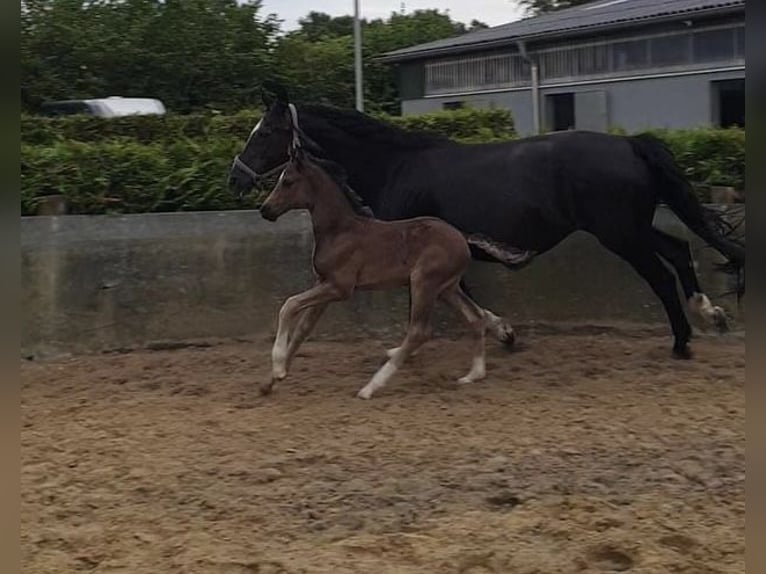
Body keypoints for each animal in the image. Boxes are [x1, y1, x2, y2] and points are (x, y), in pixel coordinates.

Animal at [231, 86, 748, 360]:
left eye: (268, 131)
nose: (235, 176)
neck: (395, 165)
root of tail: (630, 144)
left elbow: (454, 297)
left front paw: (500, 332)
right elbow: (461, 294)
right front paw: (503, 332)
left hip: (620, 232)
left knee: (660, 273)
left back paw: (682, 341)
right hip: (633, 227)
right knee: (679, 250)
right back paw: (709, 315)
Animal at [258, 148, 486, 400]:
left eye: (287, 181)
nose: (265, 210)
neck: (339, 231)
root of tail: (463, 238)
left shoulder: (340, 287)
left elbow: (289, 305)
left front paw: (278, 367)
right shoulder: (323, 283)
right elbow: (303, 329)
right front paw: (270, 381)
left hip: (423, 282)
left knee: (419, 331)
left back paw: (370, 387)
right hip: (447, 288)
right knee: (476, 317)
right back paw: (474, 374)